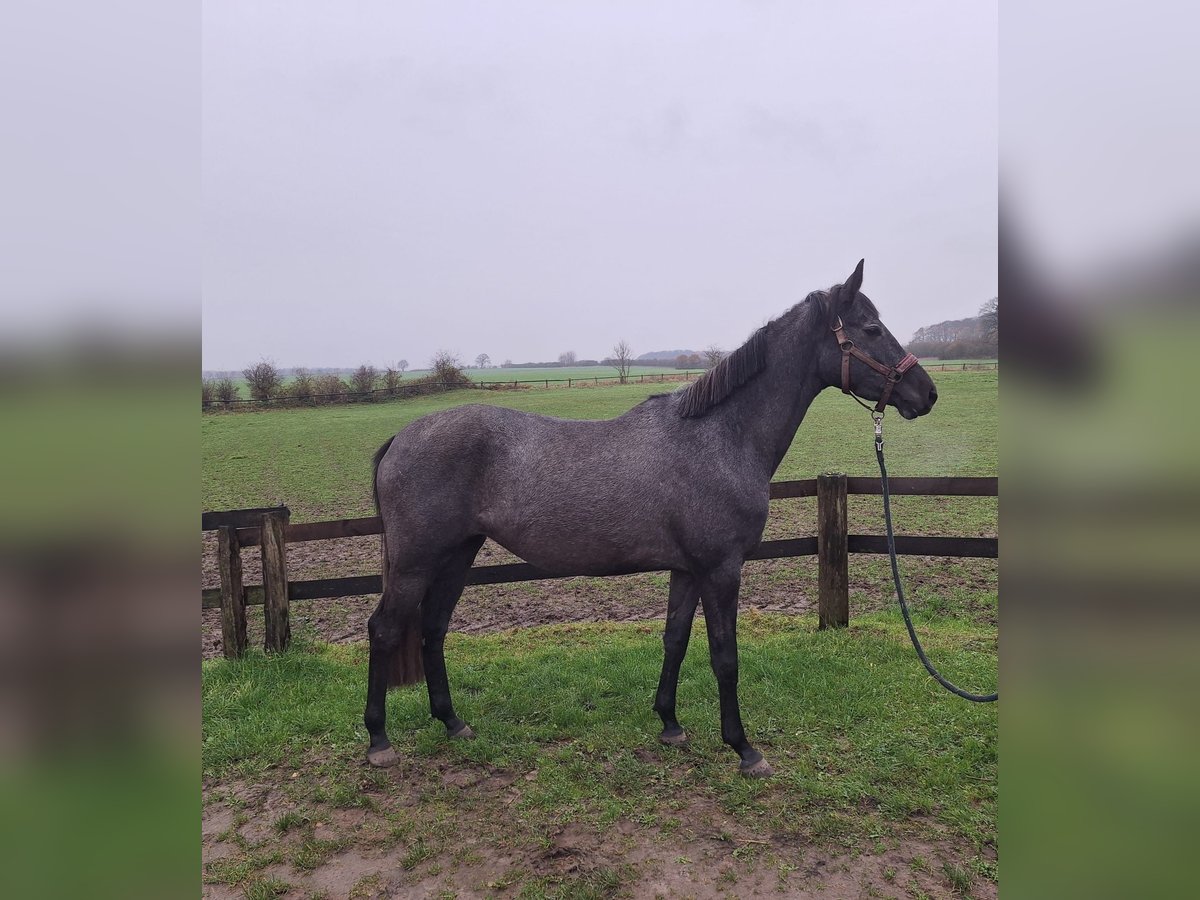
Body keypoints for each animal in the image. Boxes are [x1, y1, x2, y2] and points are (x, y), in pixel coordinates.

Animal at [362, 259, 936, 777]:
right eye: (871, 329)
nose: (926, 393)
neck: (721, 436)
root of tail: (400, 438)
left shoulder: (687, 569)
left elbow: (675, 639)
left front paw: (670, 725)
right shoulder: (721, 570)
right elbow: (724, 656)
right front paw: (744, 749)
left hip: (458, 554)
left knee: (433, 628)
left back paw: (453, 722)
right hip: (416, 562)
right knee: (385, 630)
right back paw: (379, 741)